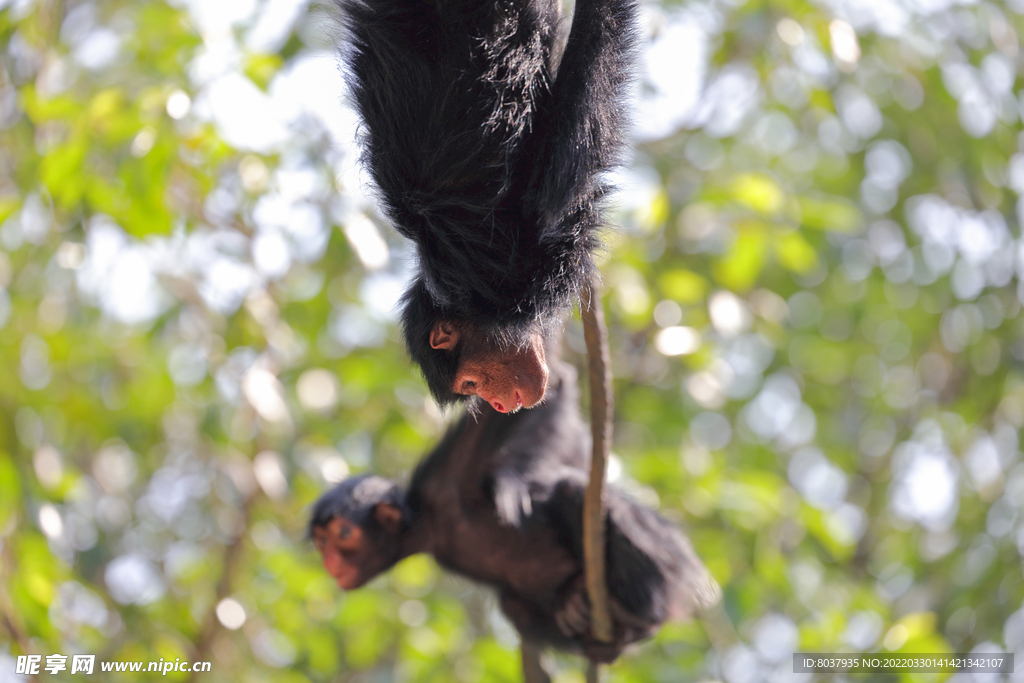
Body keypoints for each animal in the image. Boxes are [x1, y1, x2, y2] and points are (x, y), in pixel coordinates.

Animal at [311, 352, 720, 663]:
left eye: (343, 535)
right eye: (320, 542)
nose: (329, 560)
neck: (434, 524)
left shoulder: (449, 475)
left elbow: (553, 385)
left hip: (663, 561)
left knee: (572, 490)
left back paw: (637, 615)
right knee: (513, 604)